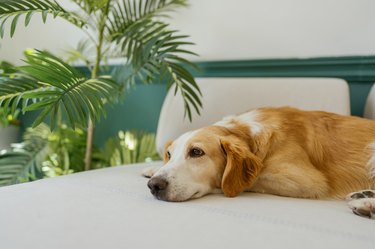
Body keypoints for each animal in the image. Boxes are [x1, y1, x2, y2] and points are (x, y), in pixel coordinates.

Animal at [143, 106, 375, 218]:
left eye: (196, 152)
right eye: (169, 154)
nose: (154, 186)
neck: (247, 133)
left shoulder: (309, 181)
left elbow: (251, 179)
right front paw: (152, 167)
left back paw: (366, 204)